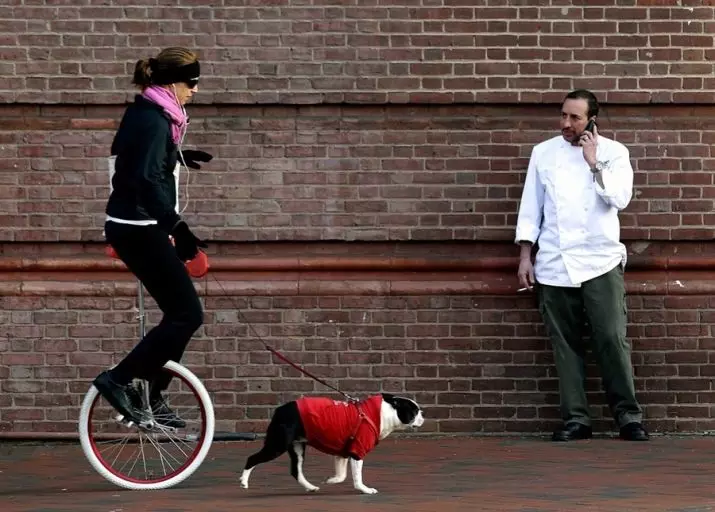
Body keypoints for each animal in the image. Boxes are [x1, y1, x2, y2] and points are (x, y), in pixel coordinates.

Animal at [241, 394, 426, 494]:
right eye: (414, 411)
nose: (423, 415)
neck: (382, 414)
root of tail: (280, 410)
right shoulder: (357, 451)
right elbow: (357, 476)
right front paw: (364, 489)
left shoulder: (343, 452)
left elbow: (342, 474)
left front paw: (332, 480)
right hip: (277, 444)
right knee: (252, 459)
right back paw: (244, 481)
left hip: (297, 447)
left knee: (296, 470)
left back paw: (310, 487)